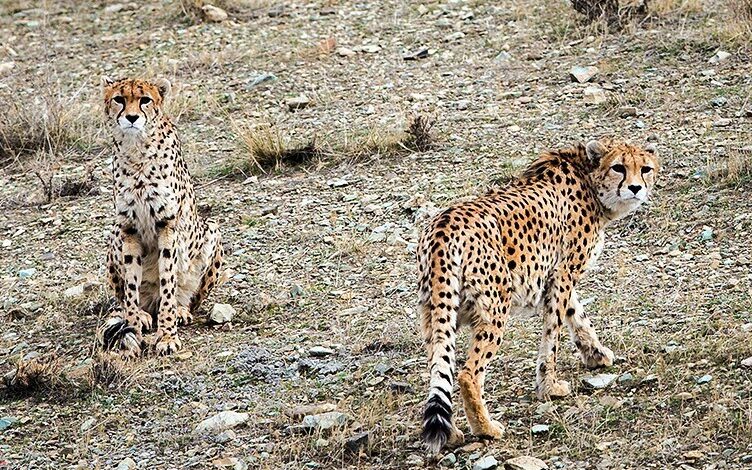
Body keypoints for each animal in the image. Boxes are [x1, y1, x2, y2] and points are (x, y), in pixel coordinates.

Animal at [96, 77, 223, 356]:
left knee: (185, 297)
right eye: (119, 99)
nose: (132, 117)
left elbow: (167, 283)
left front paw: (166, 336)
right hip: (114, 236)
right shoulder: (128, 228)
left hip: (211, 229)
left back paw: (180, 310)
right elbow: (131, 286)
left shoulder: (168, 225)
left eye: (145, 100)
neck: (136, 150)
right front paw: (133, 331)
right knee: (126, 299)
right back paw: (142, 315)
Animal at [420, 139, 660, 452]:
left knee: (440, 366)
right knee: (467, 373)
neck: (589, 178)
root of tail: (443, 225)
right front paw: (550, 387)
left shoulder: (556, 275)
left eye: (645, 169)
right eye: (618, 167)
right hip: (494, 307)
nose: (635, 188)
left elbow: (577, 314)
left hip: (437, 312)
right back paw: (486, 428)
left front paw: (596, 354)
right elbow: (553, 334)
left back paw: (451, 433)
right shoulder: (562, 274)